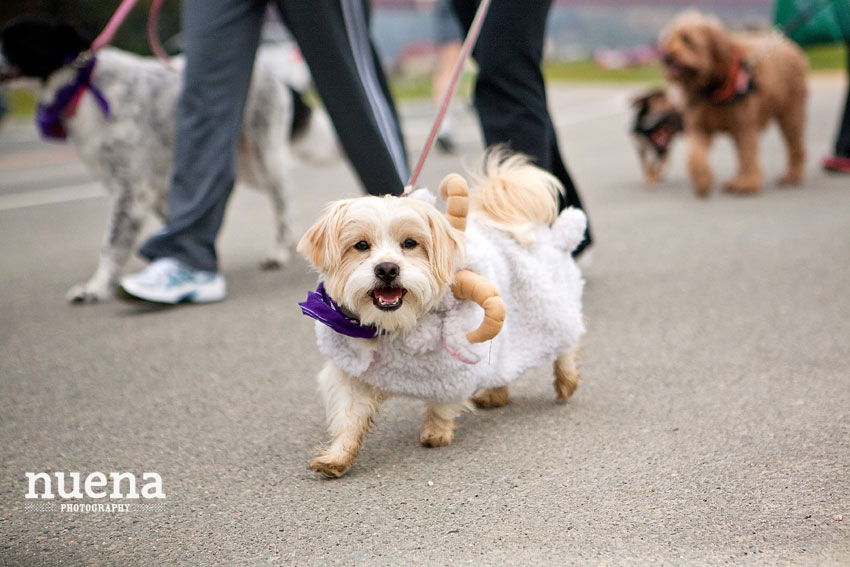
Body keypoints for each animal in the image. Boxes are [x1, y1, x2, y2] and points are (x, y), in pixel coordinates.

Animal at [0, 17, 338, 302]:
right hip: (246, 166)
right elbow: (172, 222)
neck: (83, 88)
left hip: (263, 157)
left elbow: (111, 244)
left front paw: (96, 287)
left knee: (284, 201)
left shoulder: (129, 190)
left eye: (15, 39)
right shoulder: (150, 190)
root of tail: (278, 78)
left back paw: (278, 252)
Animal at [296, 153, 584, 478]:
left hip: (553, 309)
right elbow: (348, 415)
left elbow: (443, 403)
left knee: (567, 341)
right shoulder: (352, 374)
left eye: (410, 243)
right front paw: (337, 457)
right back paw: (496, 393)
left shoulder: (455, 371)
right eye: (361, 245)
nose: (387, 268)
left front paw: (436, 430)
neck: (396, 327)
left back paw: (566, 379)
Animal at [656, 10, 808, 197]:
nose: (666, 56)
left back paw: (792, 175)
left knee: (795, 146)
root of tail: (789, 45)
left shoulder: (744, 124)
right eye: (668, 38)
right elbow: (695, 155)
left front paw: (747, 183)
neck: (713, 86)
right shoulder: (699, 125)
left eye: (687, 39)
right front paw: (702, 180)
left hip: (791, 113)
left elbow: (748, 155)